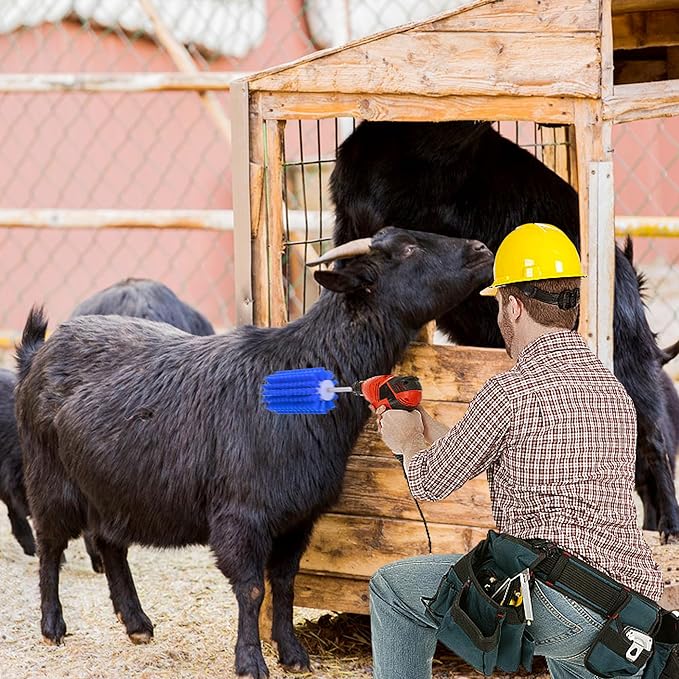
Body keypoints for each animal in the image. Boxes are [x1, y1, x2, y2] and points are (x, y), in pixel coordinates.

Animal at [15, 227, 493, 679]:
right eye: (407, 249)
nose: (481, 249)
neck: (303, 376)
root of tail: (37, 353)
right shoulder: (241, 515)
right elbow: (251, 589)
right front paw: (250, 661)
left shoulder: (298, 517)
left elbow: (283, 584)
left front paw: (293, 655)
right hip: (49, 478)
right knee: (51, 546)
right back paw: (52, 626)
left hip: (111, 487)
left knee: (109, 541)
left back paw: (136, 624)